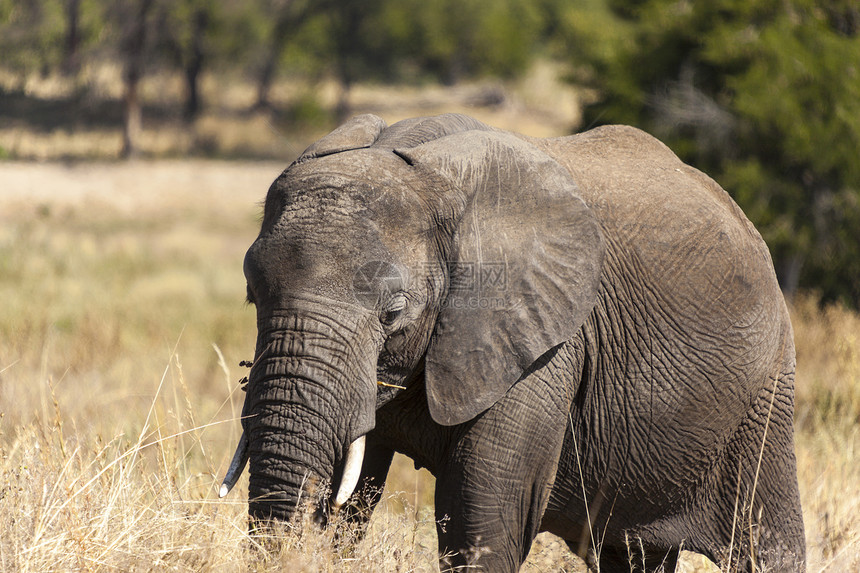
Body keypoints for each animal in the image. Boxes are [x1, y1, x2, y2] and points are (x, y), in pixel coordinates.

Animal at [222, 113, 808, 572]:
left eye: (394, 313)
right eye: (252, 294)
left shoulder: (544, 344)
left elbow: (481, 511)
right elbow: (353, 494)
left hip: (765, 395)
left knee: (767, 544)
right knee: (631, 554)